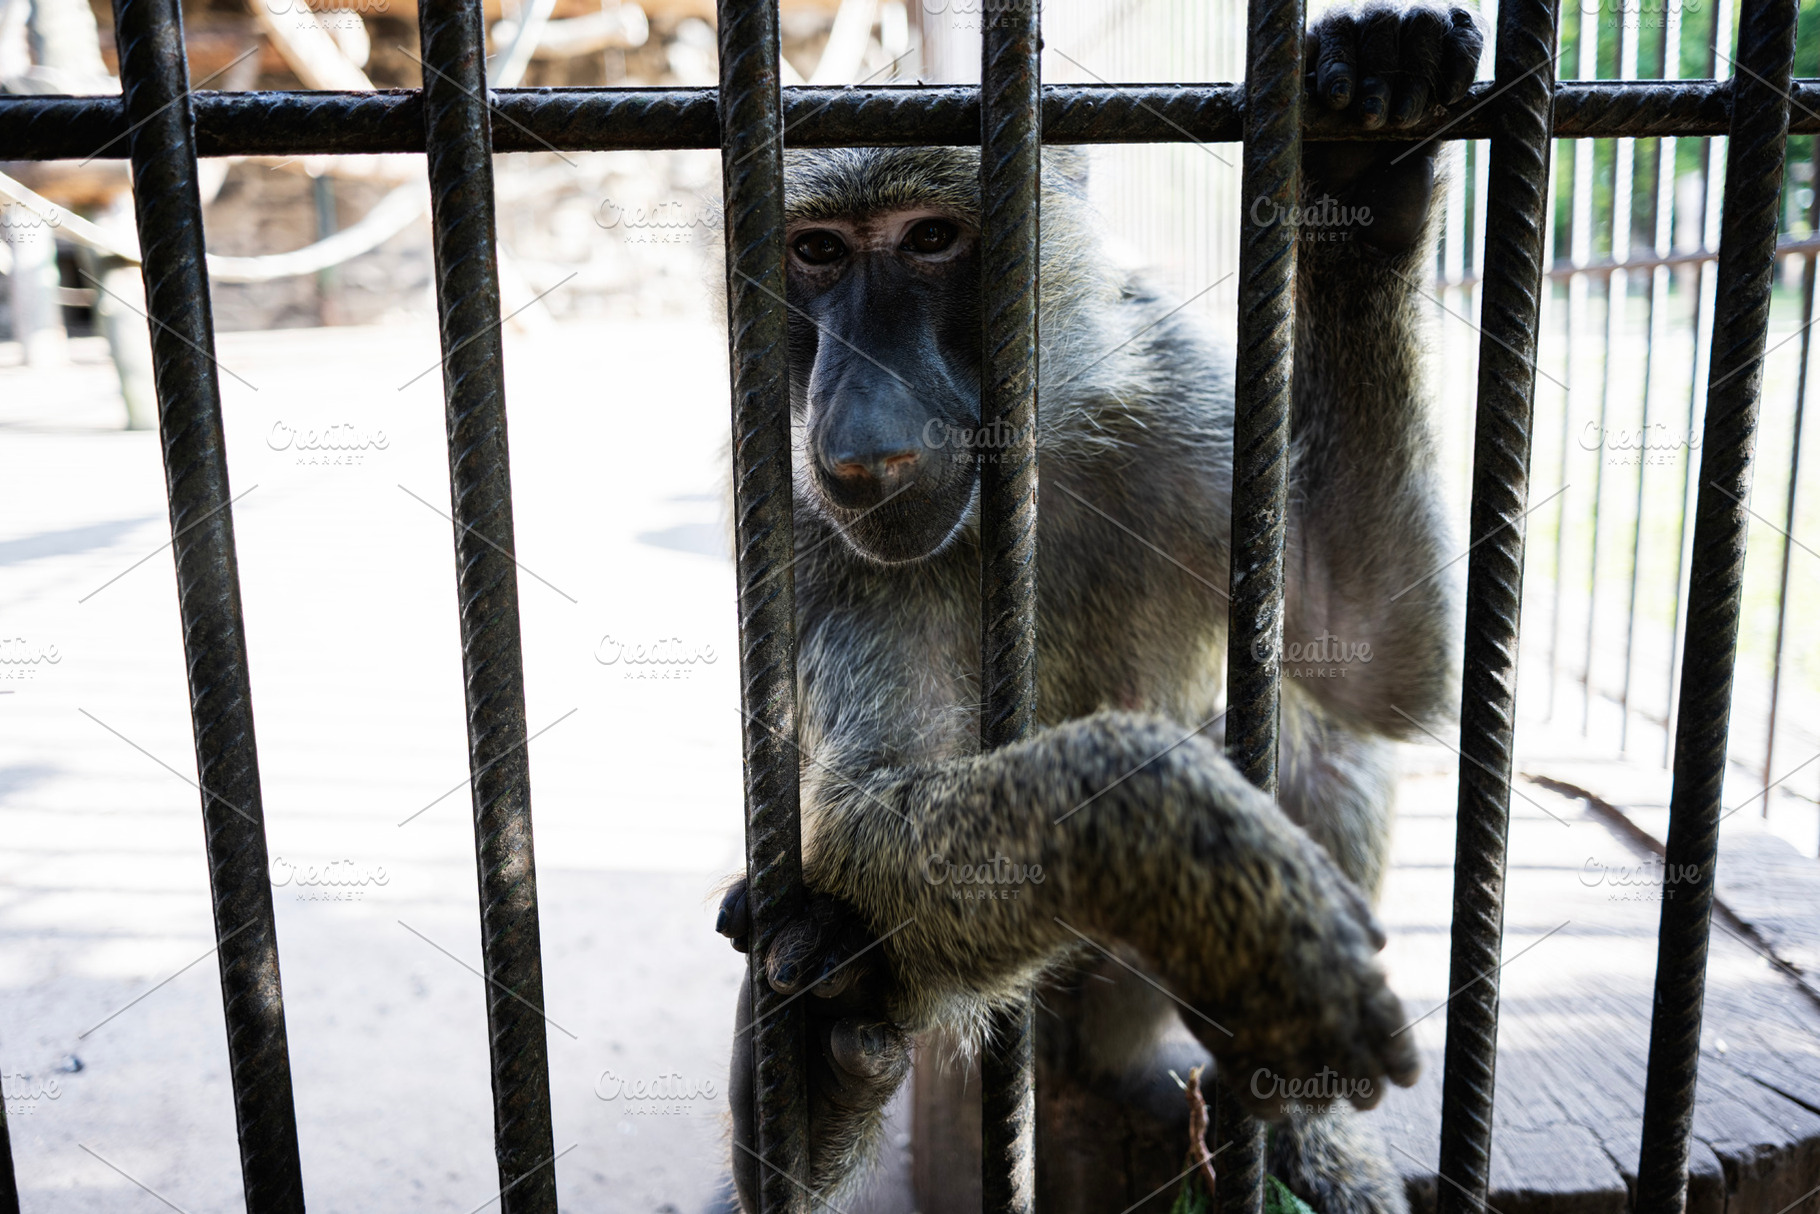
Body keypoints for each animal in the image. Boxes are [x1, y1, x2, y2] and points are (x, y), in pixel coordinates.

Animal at [712, 4, 1483, 1211]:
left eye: (930, 239)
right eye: (817, 250)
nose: (862, 441)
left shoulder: (1175, 405)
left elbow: (1364, 650)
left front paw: (1371, 149)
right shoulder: (812, 538)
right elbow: (859, 811)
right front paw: (1194, 840)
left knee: (1325, 734)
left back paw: (1296, 1120)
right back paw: (811, 1065)